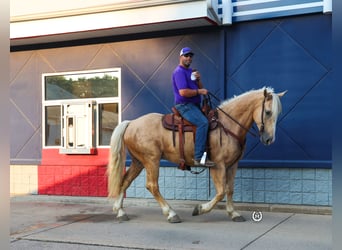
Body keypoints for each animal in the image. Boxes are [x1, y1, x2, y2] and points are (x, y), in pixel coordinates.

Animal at [107, 86, 286, 223]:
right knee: (152, 185)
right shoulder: (218, 165)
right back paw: (171, 213)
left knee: (125, 181)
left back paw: (120, 211)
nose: (269, 139)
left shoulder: (232, 165)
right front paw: (200, 209)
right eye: (268, 112)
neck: (227, 125)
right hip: (152, 160)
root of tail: (131, 123)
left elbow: (229, 189)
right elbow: (221, 191)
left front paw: (234, 213)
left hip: (139, 161)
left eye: (277, 113)